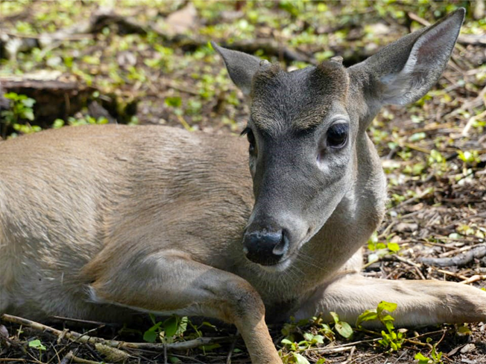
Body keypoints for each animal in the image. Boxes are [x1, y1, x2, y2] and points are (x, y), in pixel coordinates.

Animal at [0, 8, 486, 364]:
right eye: (249, 134)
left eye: (337, 133)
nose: (263, 241)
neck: (300, 270)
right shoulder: (123, 261)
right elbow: (244, 295)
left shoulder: (313, 295)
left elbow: (460, 293)